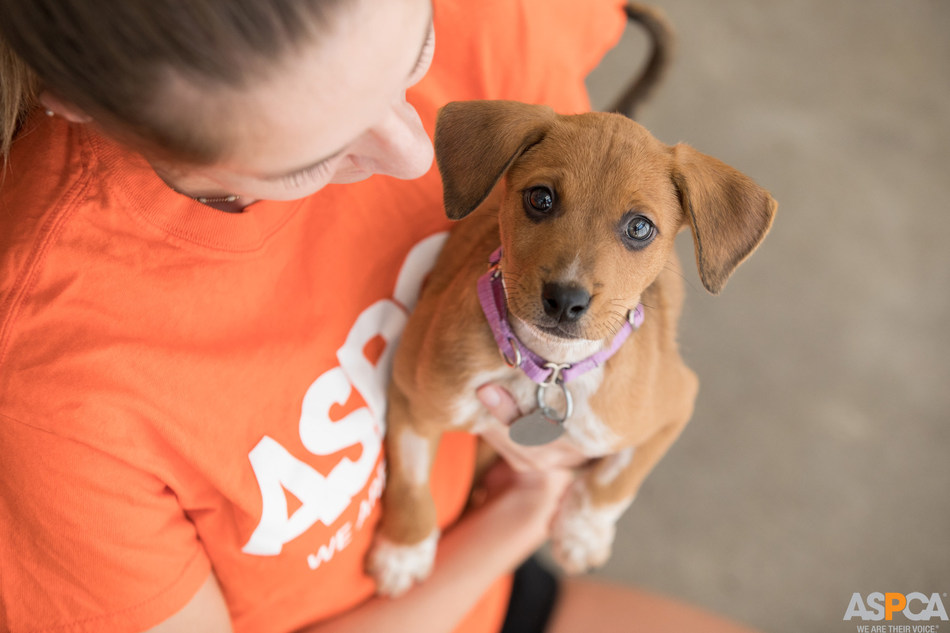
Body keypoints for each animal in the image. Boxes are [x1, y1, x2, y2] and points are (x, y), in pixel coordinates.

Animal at [368, 101, 776, 596]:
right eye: (540, 198)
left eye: (640, 227)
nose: (565, 300)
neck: (549, 364)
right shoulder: (413, 397)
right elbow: (410, 483)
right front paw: (404, 551)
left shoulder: (677, 403)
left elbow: (615, 481)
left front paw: (583, 533)